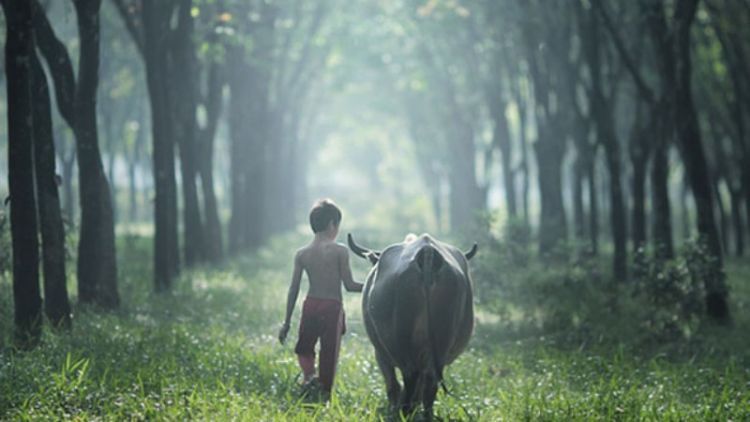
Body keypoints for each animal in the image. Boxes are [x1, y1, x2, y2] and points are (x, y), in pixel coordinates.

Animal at [350, 232, 478, 418]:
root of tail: (427, 250)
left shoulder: (380, 354)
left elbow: (392, 385)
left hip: (400, 342)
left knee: (409, 378)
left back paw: (403, 411)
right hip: (441, 343)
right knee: (429, 383)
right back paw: (424, 414)